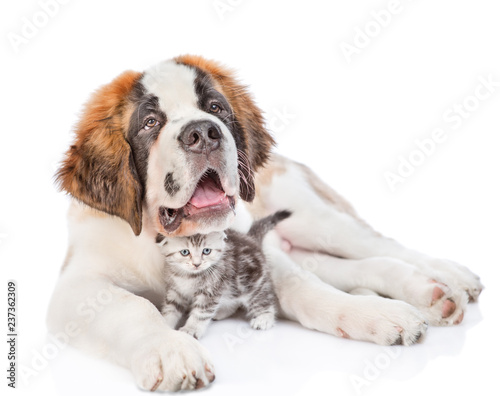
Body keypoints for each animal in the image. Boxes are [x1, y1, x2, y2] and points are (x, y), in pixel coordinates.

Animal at [158, 209, 292, 338]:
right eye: (185, 252)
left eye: (206, 251)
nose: (197, 264)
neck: (188, 276)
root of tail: (251, 239)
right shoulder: (175, 290)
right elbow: (170, 308)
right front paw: (163, 325)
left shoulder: (210, 291)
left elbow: (201, 313)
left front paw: (191, 329)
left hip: (253, 282)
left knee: (262, 299)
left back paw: (264, 318)